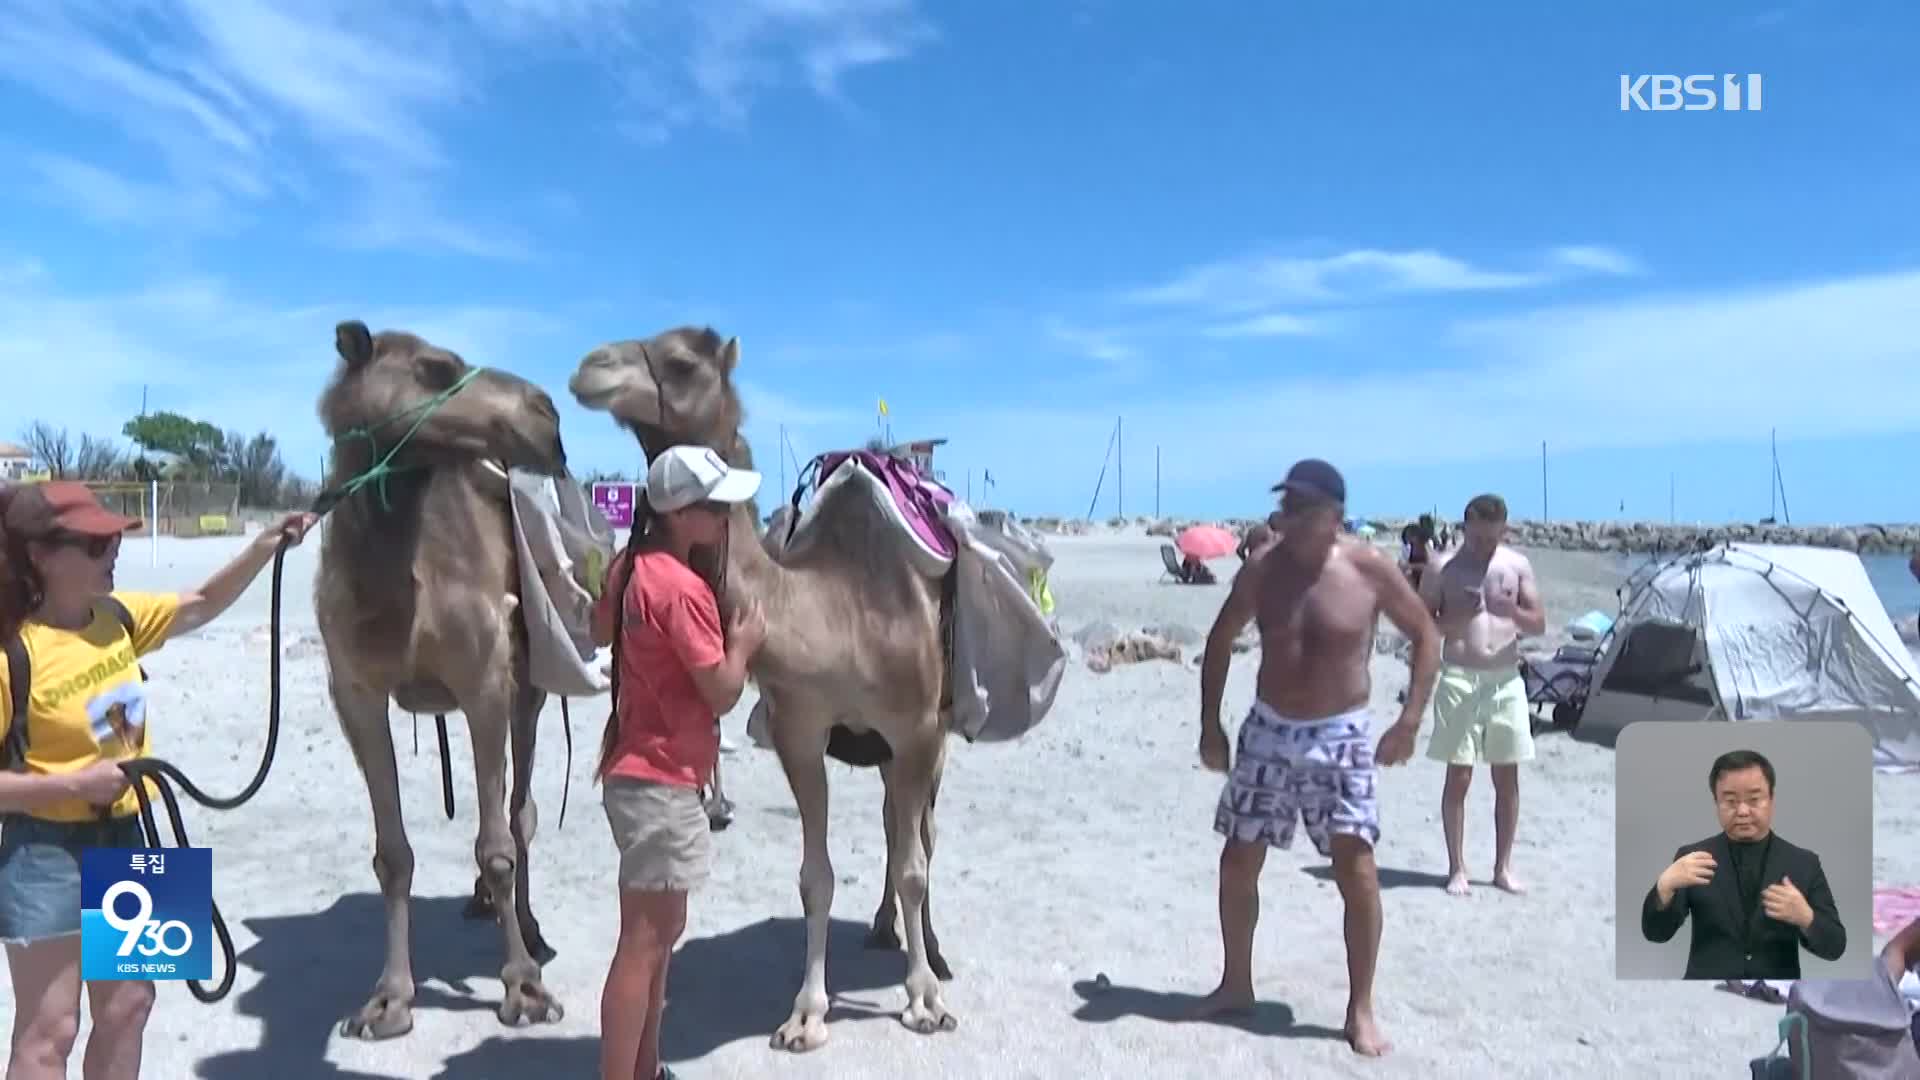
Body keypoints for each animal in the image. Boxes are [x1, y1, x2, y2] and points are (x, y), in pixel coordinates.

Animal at [314, 319, 564, 1037]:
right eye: (434, 369)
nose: (548, 414)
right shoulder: (355, 694)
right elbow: (392, 854)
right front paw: (389, 998)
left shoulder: (484, 680)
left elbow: (497, 844)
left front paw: (524, 988)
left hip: (527, 687)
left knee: (519, 811)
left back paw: (529, 930)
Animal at [568, 322, 960, 1045]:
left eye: (681, 361)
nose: (590, 366)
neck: (836, 616)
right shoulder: (801, 734)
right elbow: (815, 877)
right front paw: (806, 1013)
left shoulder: (917, 730)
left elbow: (916, 863)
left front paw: (924, 998)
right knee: (895, 825)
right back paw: (883, 929)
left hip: (937, 736)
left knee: (921, 832)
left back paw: (933, 952)